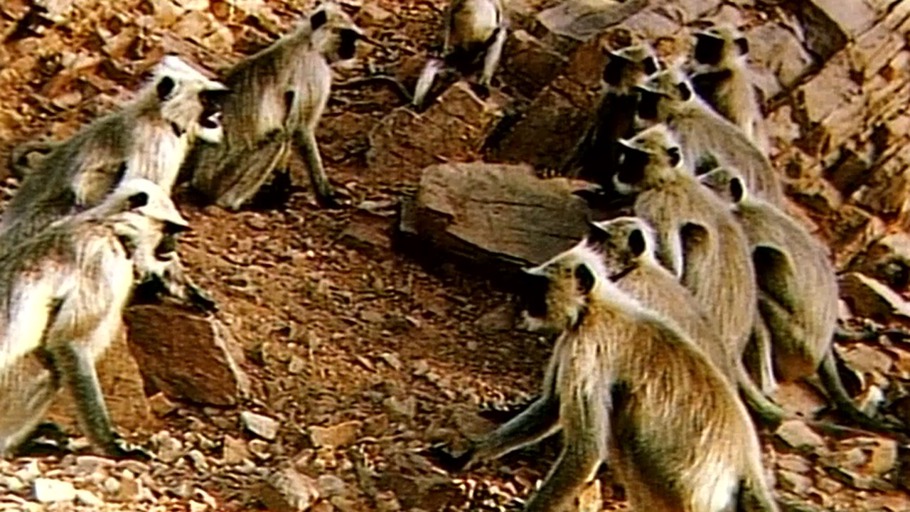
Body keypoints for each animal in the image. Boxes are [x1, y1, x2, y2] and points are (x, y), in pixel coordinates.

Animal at [0, 179, 191, 459]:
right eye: (170, 230)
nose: (172, 247)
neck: (106, 225)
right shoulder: (101, 258)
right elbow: (68, 342)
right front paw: (112, 447)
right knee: (49, 370)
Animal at [187, 3, 363, 210]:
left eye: (354, 37)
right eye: (347, 35)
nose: (353, 48)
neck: (308, 42)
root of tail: (197, 178)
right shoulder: (315, 70)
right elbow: (302, 129)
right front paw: (326, 196)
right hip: (219, 178)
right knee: (279, 134)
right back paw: (232, 203)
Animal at [434, 238, 780, 512]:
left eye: (537, 287)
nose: (524, 300)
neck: (595, 306)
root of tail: (745, 456)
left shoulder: (588, 347)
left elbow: (585, 451)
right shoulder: (571, 338)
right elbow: (551, 407)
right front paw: (474, 452)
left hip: (685, 487)